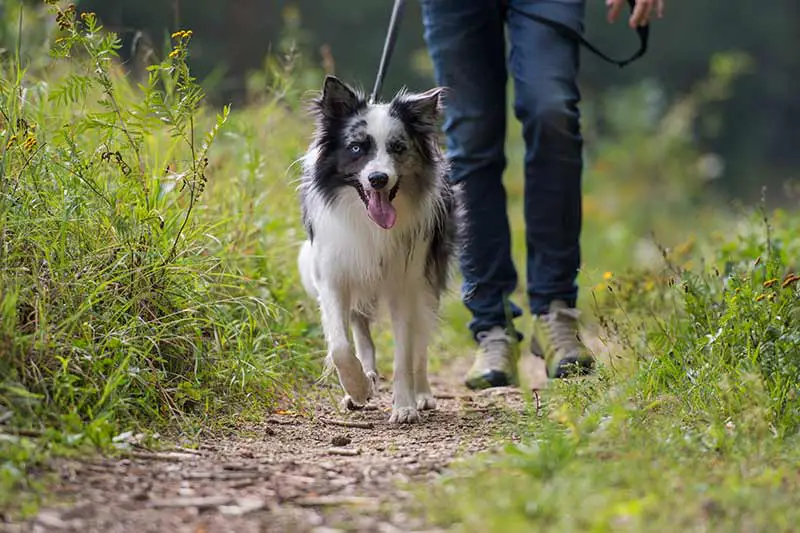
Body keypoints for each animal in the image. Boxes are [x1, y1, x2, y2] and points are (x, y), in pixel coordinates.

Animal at [296, 75, 460, 424]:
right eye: (357, 148)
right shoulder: (334, 276)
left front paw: (405, 405)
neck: (369, 222)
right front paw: (357, 387)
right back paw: (366, 378)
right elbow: (340, 345)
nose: (378, 179)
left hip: (428, 281)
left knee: (421, 344)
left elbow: (404, 353)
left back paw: (423, 394)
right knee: (360, 329)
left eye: (398, 147)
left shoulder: (406, 284)